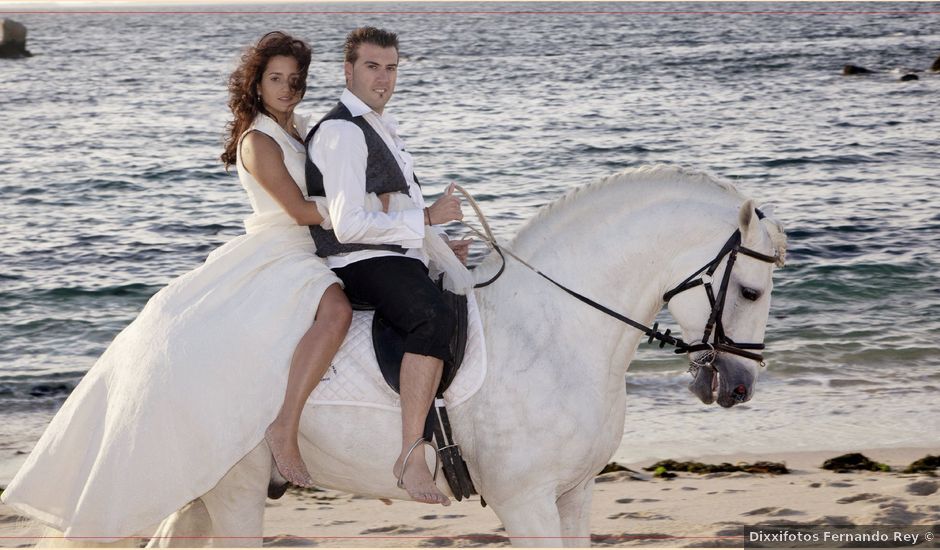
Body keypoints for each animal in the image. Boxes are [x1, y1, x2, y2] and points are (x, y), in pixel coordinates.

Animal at [38, 166, 784, 548]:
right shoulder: (527, 503)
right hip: (236, 490)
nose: (738, 385)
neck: (554, 332)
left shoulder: (573, 496)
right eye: (750, 289)